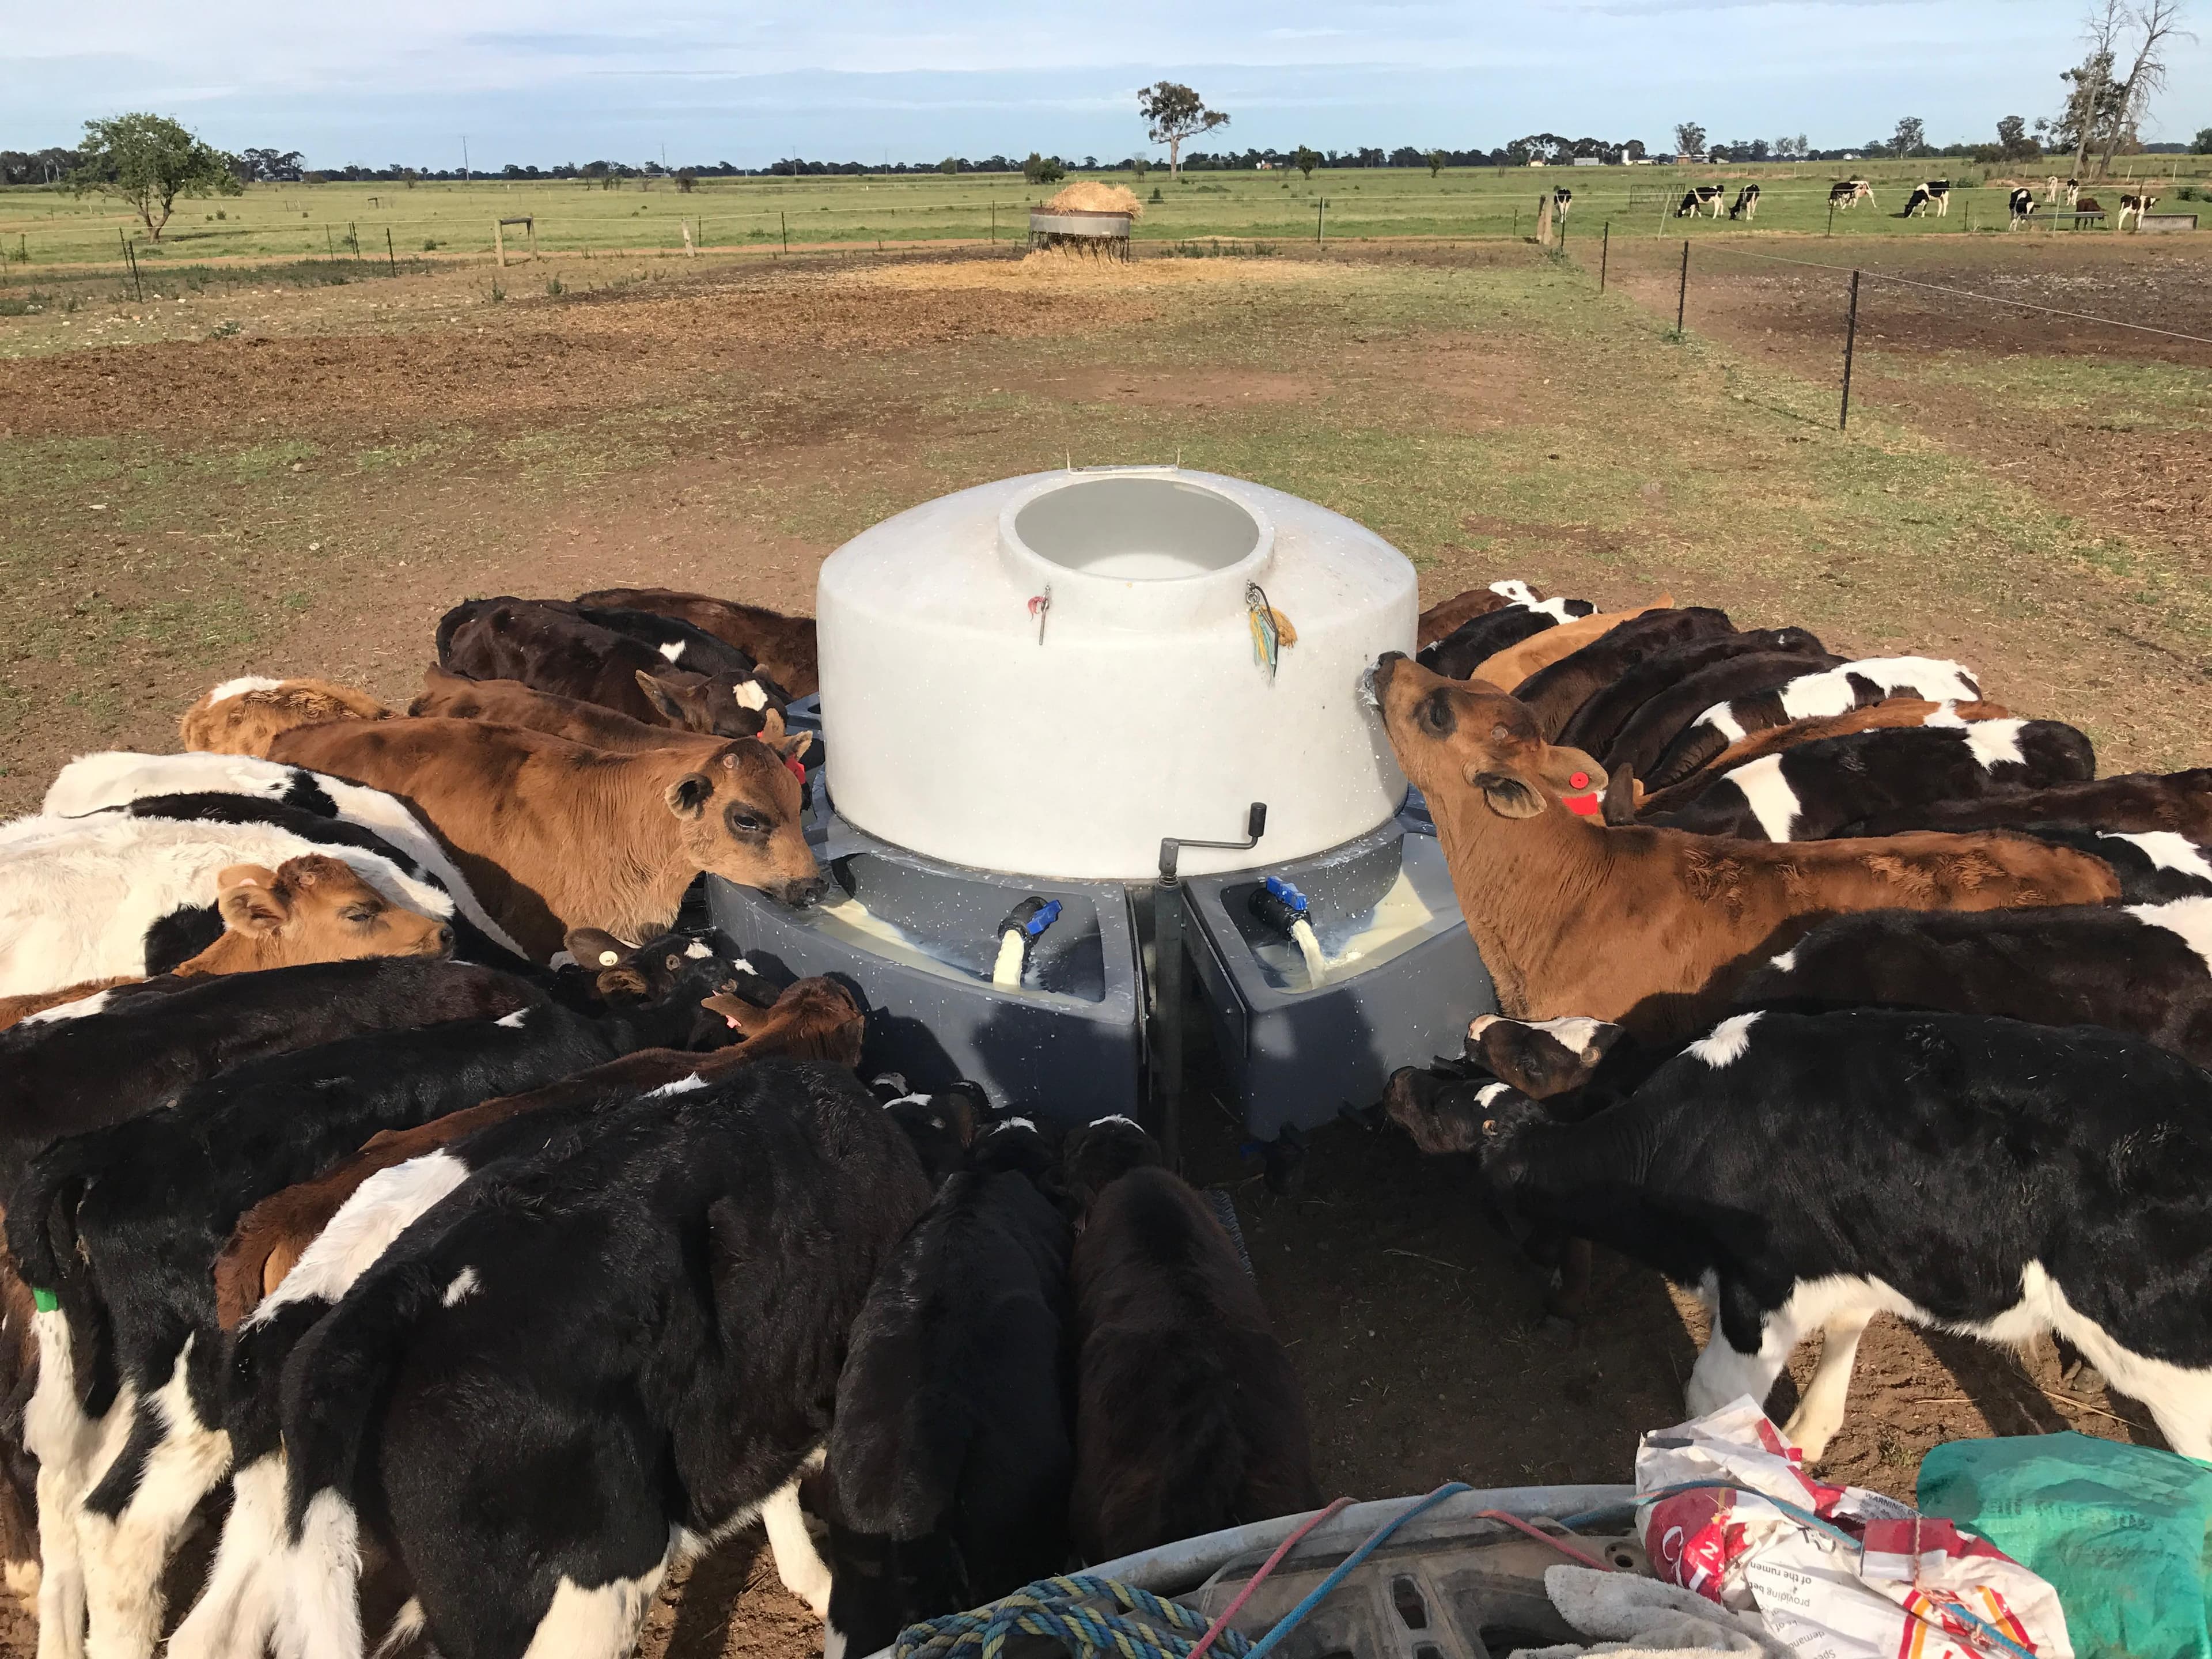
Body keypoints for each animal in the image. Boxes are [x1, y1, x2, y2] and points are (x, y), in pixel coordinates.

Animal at [9, 940, 748, 1659]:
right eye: (690, 968)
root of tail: (112, 1155)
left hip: (120, 1356)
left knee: (69, 1474)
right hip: (199, 1390)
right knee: (127, 1524)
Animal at [1395, 1008, 2212, 1463]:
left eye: (1529, 1061)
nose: (1399, 1080)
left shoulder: (1755, 1297)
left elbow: (1712, 1400)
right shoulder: (1850, 1255)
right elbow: (1846, 1331)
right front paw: (1807, 1437)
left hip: (2177, 1378)